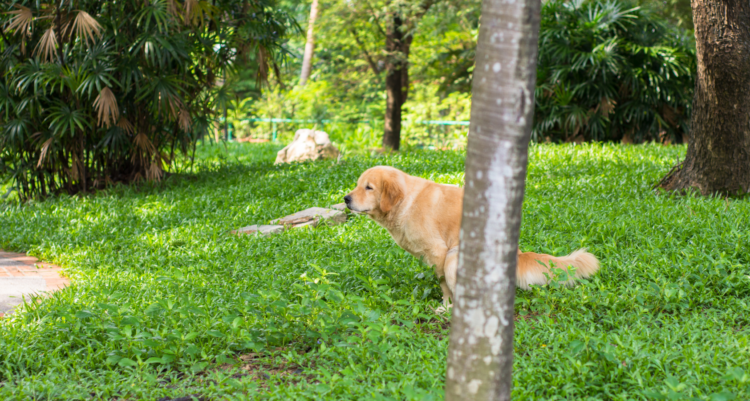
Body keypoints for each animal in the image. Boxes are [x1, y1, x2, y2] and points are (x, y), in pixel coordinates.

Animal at [346, 166, 600, 310]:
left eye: (369, 187)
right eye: (358, 185)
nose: (346, 199)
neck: (405, 202)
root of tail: (517, 254)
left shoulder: (440, 251)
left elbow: (444, 285)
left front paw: (445, 306)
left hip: (454, 257)